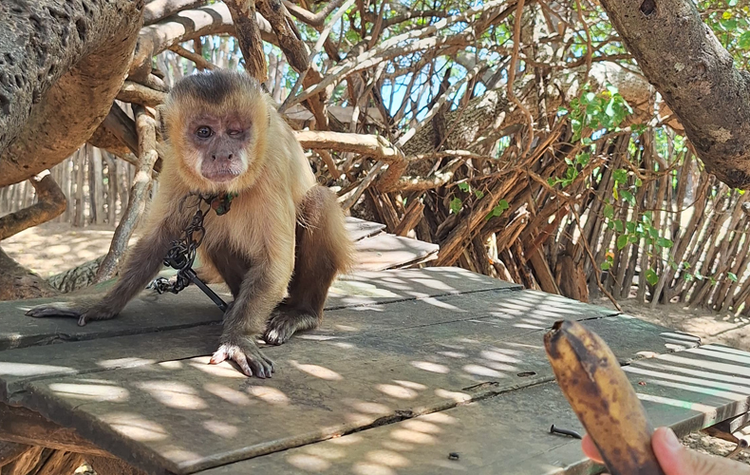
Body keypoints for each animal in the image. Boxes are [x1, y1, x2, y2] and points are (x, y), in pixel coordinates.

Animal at [26, 70, 353, 378]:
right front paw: (101, 305)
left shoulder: (272, 163)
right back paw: (234, 305)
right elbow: (158, 240)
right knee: (217, 236)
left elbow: (276, 262)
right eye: (204, 132)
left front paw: (238, 338)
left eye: (235, 131)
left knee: (318, 202)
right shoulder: (172, 164)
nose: (223, 154)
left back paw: (300, 312)